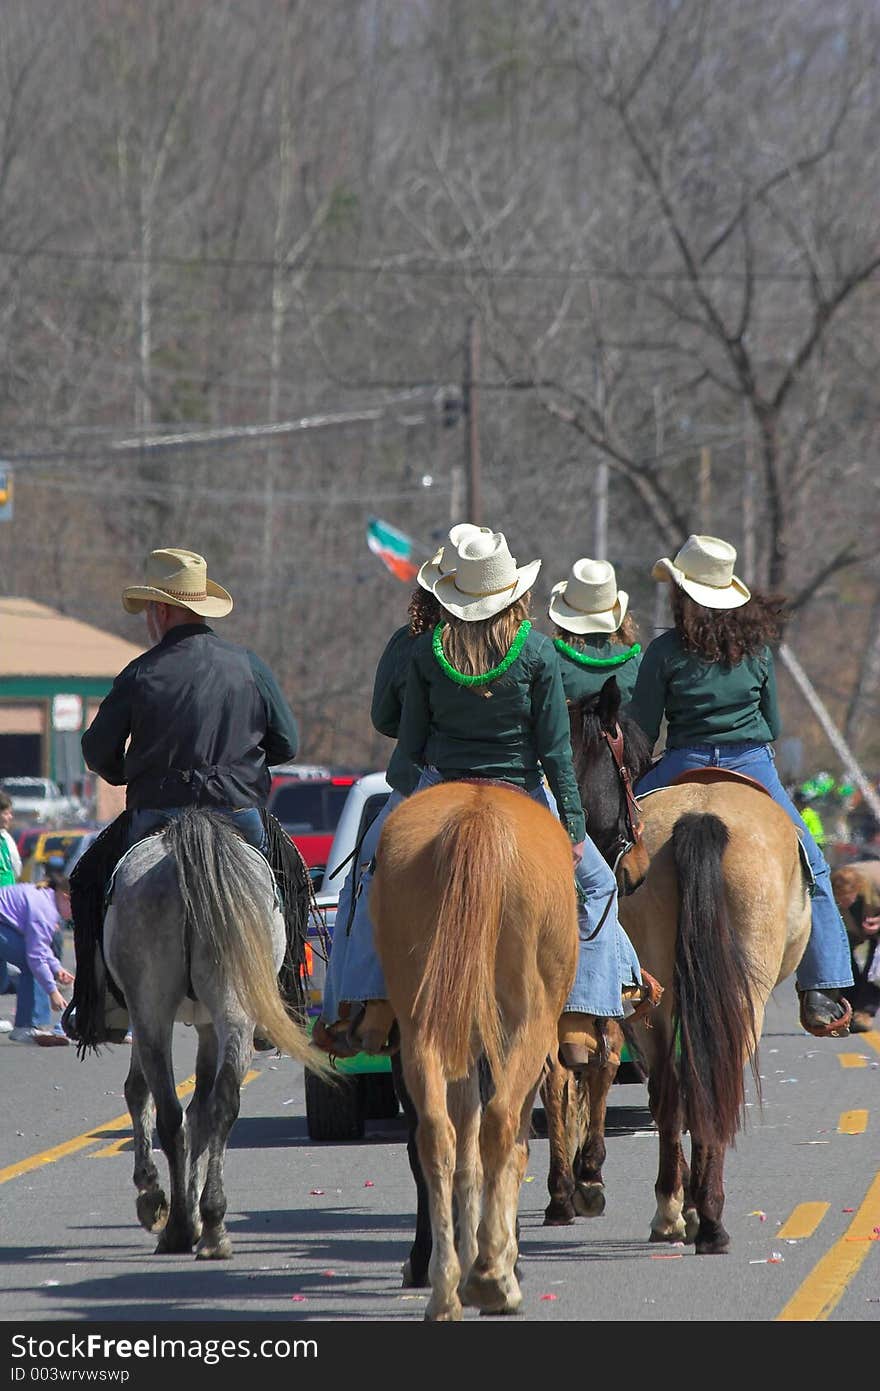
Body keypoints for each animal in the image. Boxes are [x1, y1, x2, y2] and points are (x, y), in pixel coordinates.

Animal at [102, 806, 332, 1263]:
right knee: (220, 1104)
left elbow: (145, 1095)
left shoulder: (160, 1018)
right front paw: (188, 1207)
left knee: (169, 1108)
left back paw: (179, 1225)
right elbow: (201, 1113)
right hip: (231, 1007)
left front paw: (153, 1195)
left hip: (152, 1009)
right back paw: (210, 1226)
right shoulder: (206, 1023)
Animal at [369, 784, 575, 1313]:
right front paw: (497, 1260)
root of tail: (475, 817)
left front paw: (467, 1258)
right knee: (501, 1124)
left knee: (436, 1136)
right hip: (528, 1025)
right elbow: (513, 1148)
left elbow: (467, 1155)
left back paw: (445, 1289)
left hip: (422, 1027)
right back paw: (491, 1280)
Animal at [550, 678, 811, 1257]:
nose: (631, 866)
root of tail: (700, 817)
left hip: (657, 998)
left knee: (664, 1088)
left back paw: (668, 1208)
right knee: (703, 1080)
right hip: (736, 995)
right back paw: (700, 1217)